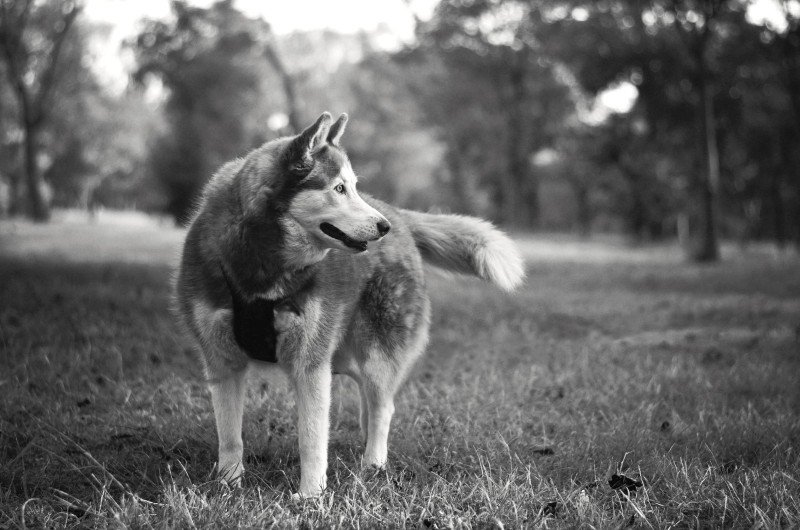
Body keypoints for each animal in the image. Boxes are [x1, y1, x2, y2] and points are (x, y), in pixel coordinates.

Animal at [176, 110, 524, 496]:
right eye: (338, 188)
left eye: (352, 186)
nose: (382, 227)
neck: (263, 268)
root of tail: (398, 214)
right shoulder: (222, 360)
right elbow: (230, 435)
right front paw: (228, 483)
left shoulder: (309, 363)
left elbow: (312, 438)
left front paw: (310, 496)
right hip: (342, 352)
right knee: (368, 399)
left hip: (376, 352)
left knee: (383, 405)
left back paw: (373, 463)